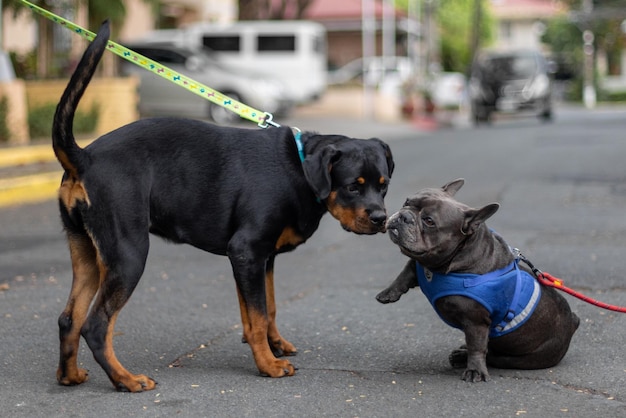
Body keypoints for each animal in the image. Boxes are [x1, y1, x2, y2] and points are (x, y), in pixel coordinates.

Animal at [56, 20, 392, 392]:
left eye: (384, 185)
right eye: (352, 186)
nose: (381, 218)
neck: (300, 167)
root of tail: (84, 158)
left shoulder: (261, 258)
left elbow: (264, 310)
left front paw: (275, 346)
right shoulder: (247, 251)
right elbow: (258, 316)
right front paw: (268, 365)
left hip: (88, 252)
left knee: (69, 319)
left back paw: (70, 375)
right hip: (128, 255)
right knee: (96, 325)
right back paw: (126, 379)